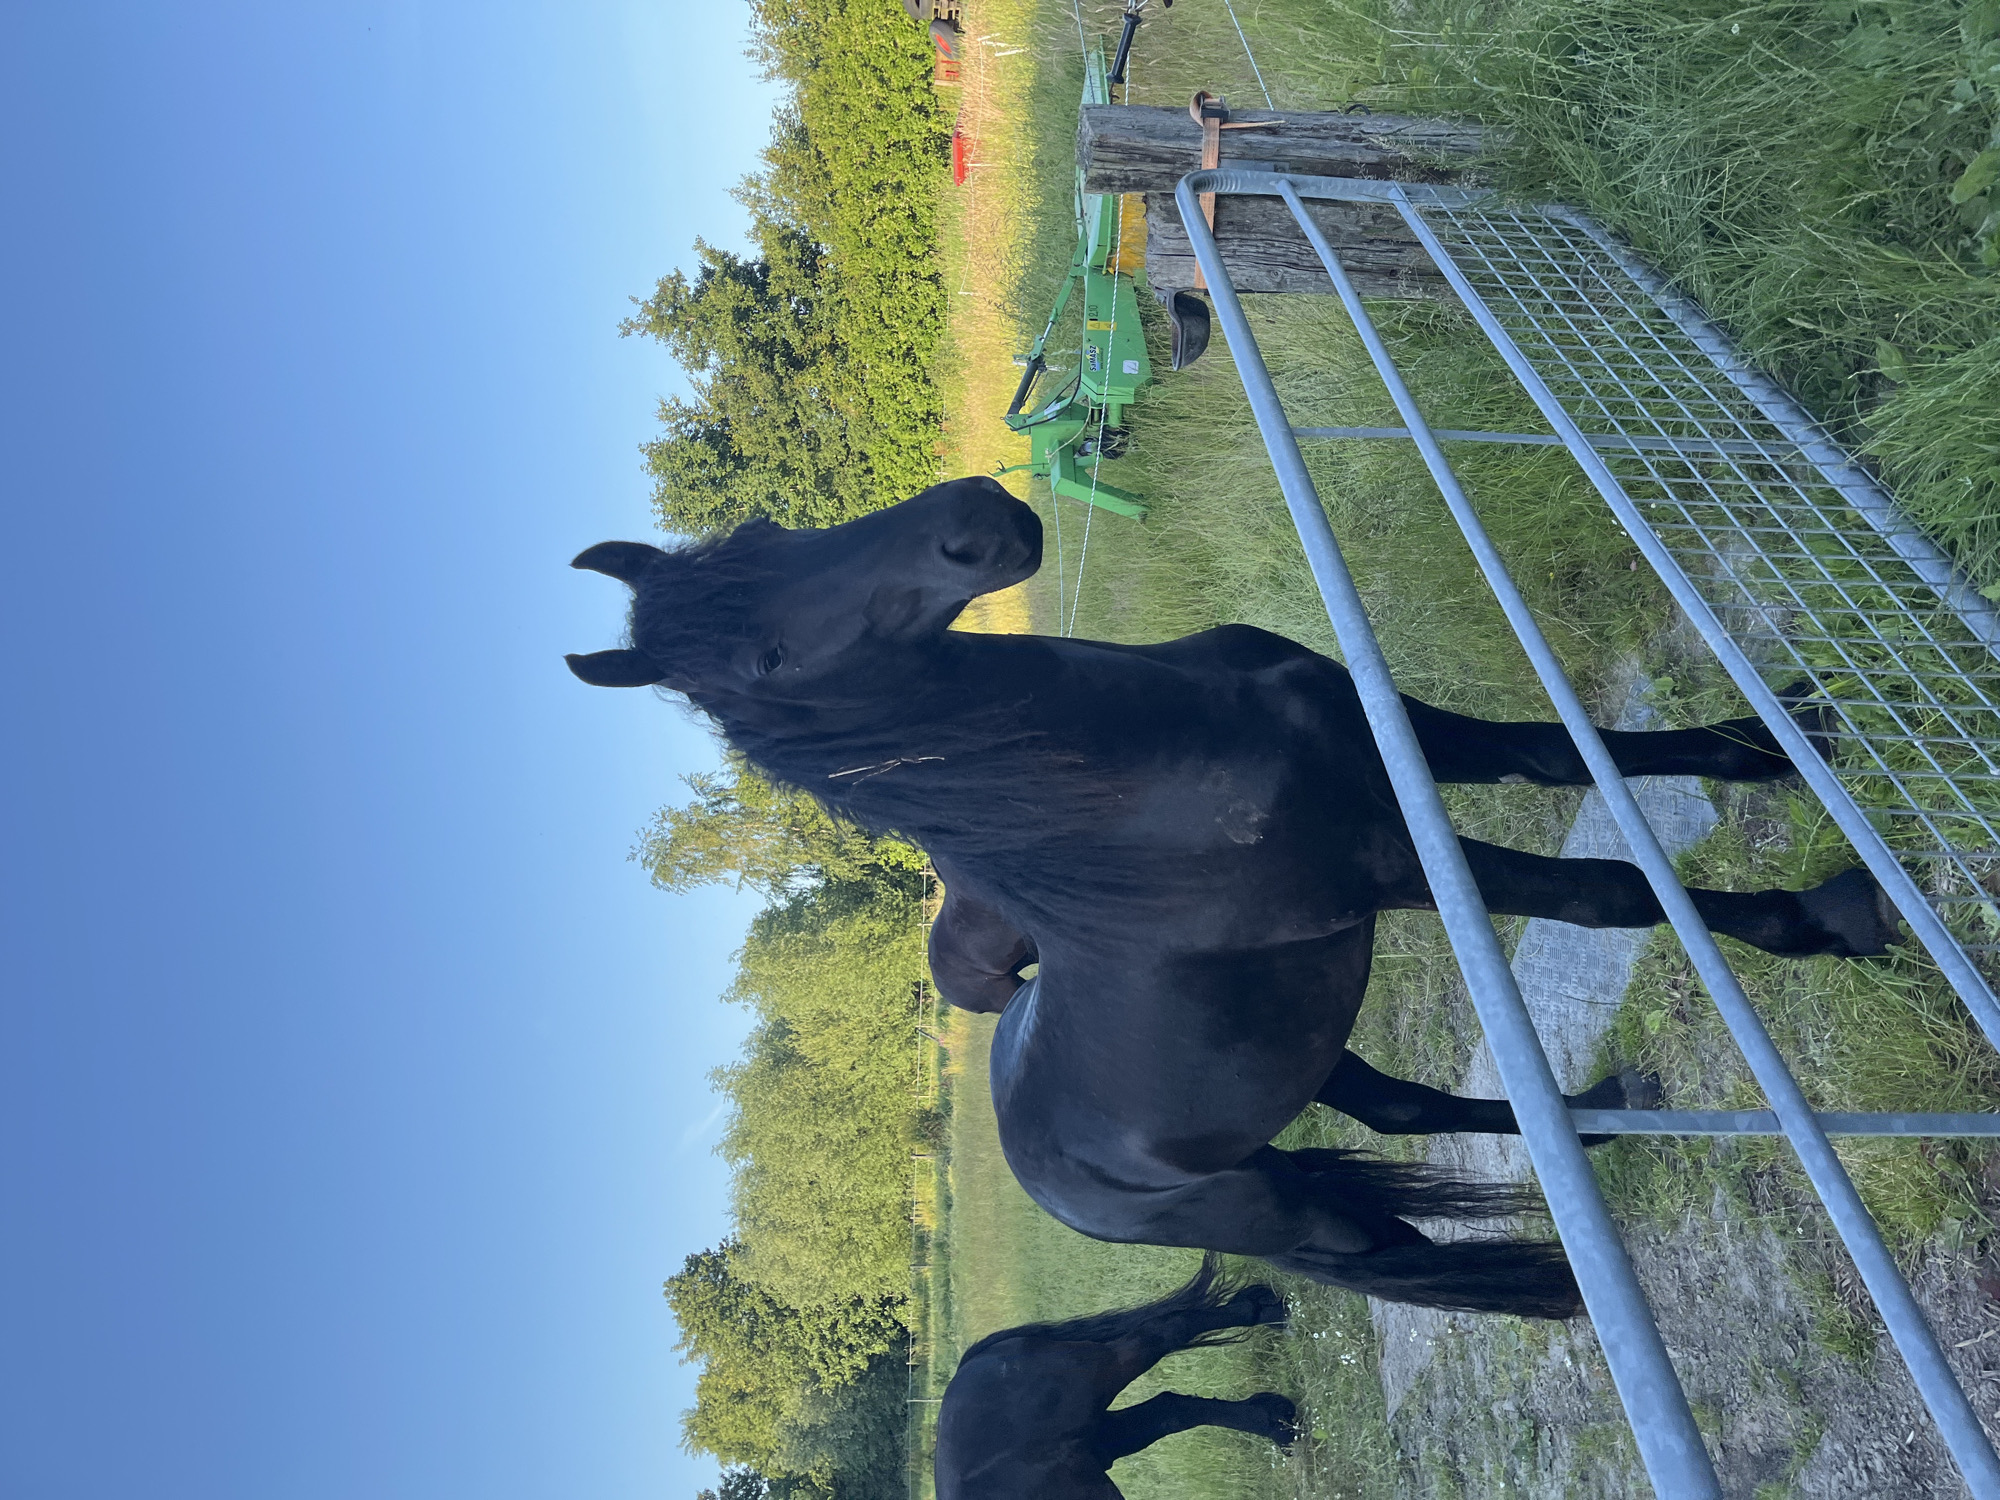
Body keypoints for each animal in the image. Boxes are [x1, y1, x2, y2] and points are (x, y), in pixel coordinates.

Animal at [567, 477, 1900, 1318]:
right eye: (768, 658)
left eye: (766, 525)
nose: (975, 520)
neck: (1144, 773)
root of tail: (1048, 1176)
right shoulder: (1388, 862)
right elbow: (1604, 894)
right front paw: (1828, 917)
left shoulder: (1391, 739)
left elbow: (1554, 759)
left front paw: (1773, 741)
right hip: (1277, 1206)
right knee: (1391, 1248)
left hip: (1298, 1058)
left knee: (1401, 1112)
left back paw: (1597, 1116)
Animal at [935, 1257, 1295, 1500]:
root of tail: (972, 1365)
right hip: (1103, 1437)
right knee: (1171, 1410)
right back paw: (1275, 1420)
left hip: (1103, 1375)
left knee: (1164, 1332)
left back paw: (1267, 1314)